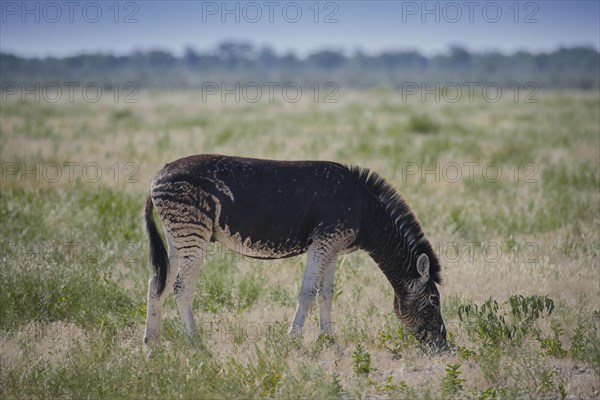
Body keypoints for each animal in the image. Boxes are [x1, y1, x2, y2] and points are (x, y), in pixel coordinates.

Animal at [143, 153, 448, 350]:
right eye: (434, 300)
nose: (444, 345)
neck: (365, 211)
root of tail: (159, 174)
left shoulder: (333, 248)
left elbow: (326, 295)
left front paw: (329, 341)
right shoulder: (324, 242)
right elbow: (307, 292)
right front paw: (293, 341)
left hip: (177, 236)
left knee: (157, 283)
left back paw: (151, 345)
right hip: (191, 233)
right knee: (181, 288)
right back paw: (196, 344)